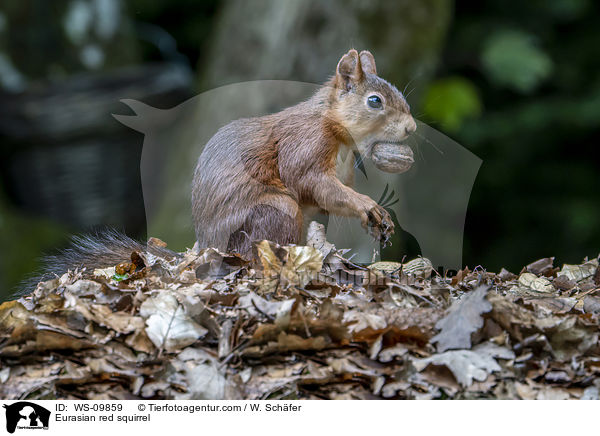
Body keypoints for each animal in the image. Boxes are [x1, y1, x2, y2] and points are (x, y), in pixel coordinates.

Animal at [17, 48, 412, 292]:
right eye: (374, 101)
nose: (411, 128)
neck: (336, 129)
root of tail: (206, 248)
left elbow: (332, 196)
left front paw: (378, 219)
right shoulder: (303, 147)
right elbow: (314, 183)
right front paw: (368, 206)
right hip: (272, 214)